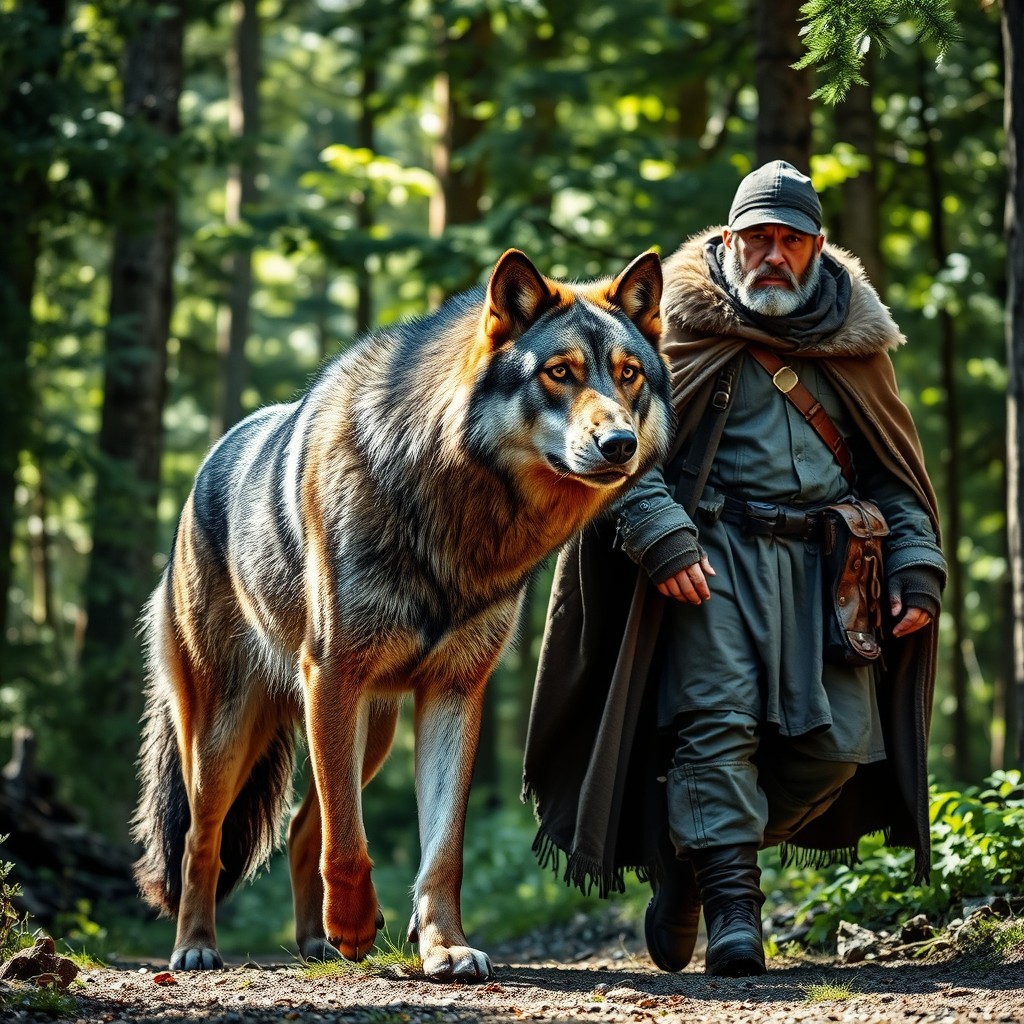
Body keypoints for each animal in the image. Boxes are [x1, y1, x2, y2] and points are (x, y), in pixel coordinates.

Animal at [131, 248, 672, 981]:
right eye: (559, 373)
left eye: (628, 375)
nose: (619, 443)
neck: (453, 509)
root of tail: (201, 476)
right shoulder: (332, 676)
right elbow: (347, 840)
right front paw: (360, 927)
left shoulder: (453, 693)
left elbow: (440, 851)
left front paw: (443, 947)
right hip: (229, 732)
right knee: (203, 837)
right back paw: (197, 947)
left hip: (372, 730)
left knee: (304, 825)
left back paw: (316, 943)